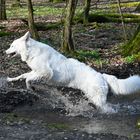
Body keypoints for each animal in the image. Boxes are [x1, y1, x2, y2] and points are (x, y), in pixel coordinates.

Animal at [5, 31, 140, 112]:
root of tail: (102, 76)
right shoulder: (36, 71)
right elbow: (23, 75)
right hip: (92, 96)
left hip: (97, 99)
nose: (4, 52)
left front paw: (30, 87)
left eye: (11, 46)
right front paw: (11, 79)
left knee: (107, 108)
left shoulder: (46, 73)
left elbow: (27, 78)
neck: (31, 51)